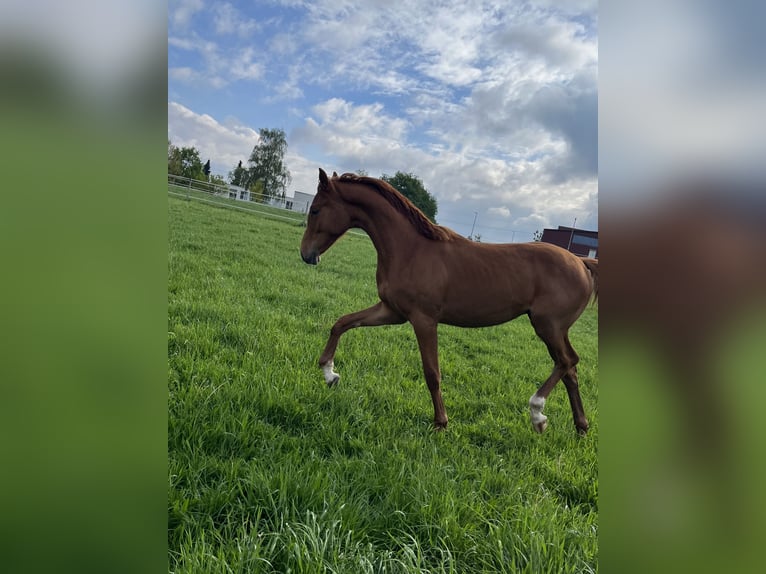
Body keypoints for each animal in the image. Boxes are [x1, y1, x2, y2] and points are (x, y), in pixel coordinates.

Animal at [300, 169, 600, 434]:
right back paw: (580, 427)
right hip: (555, 330)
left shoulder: (423, 320)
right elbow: (341, 323)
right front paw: (330, 374)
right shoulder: (391, 311)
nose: (306, 255)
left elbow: (432, 373)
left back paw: (537, 413)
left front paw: (441, 423)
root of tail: (581, 262)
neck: (411, 250)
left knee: (568, 361)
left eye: (315, 210)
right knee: (570, 370)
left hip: (548, 326)